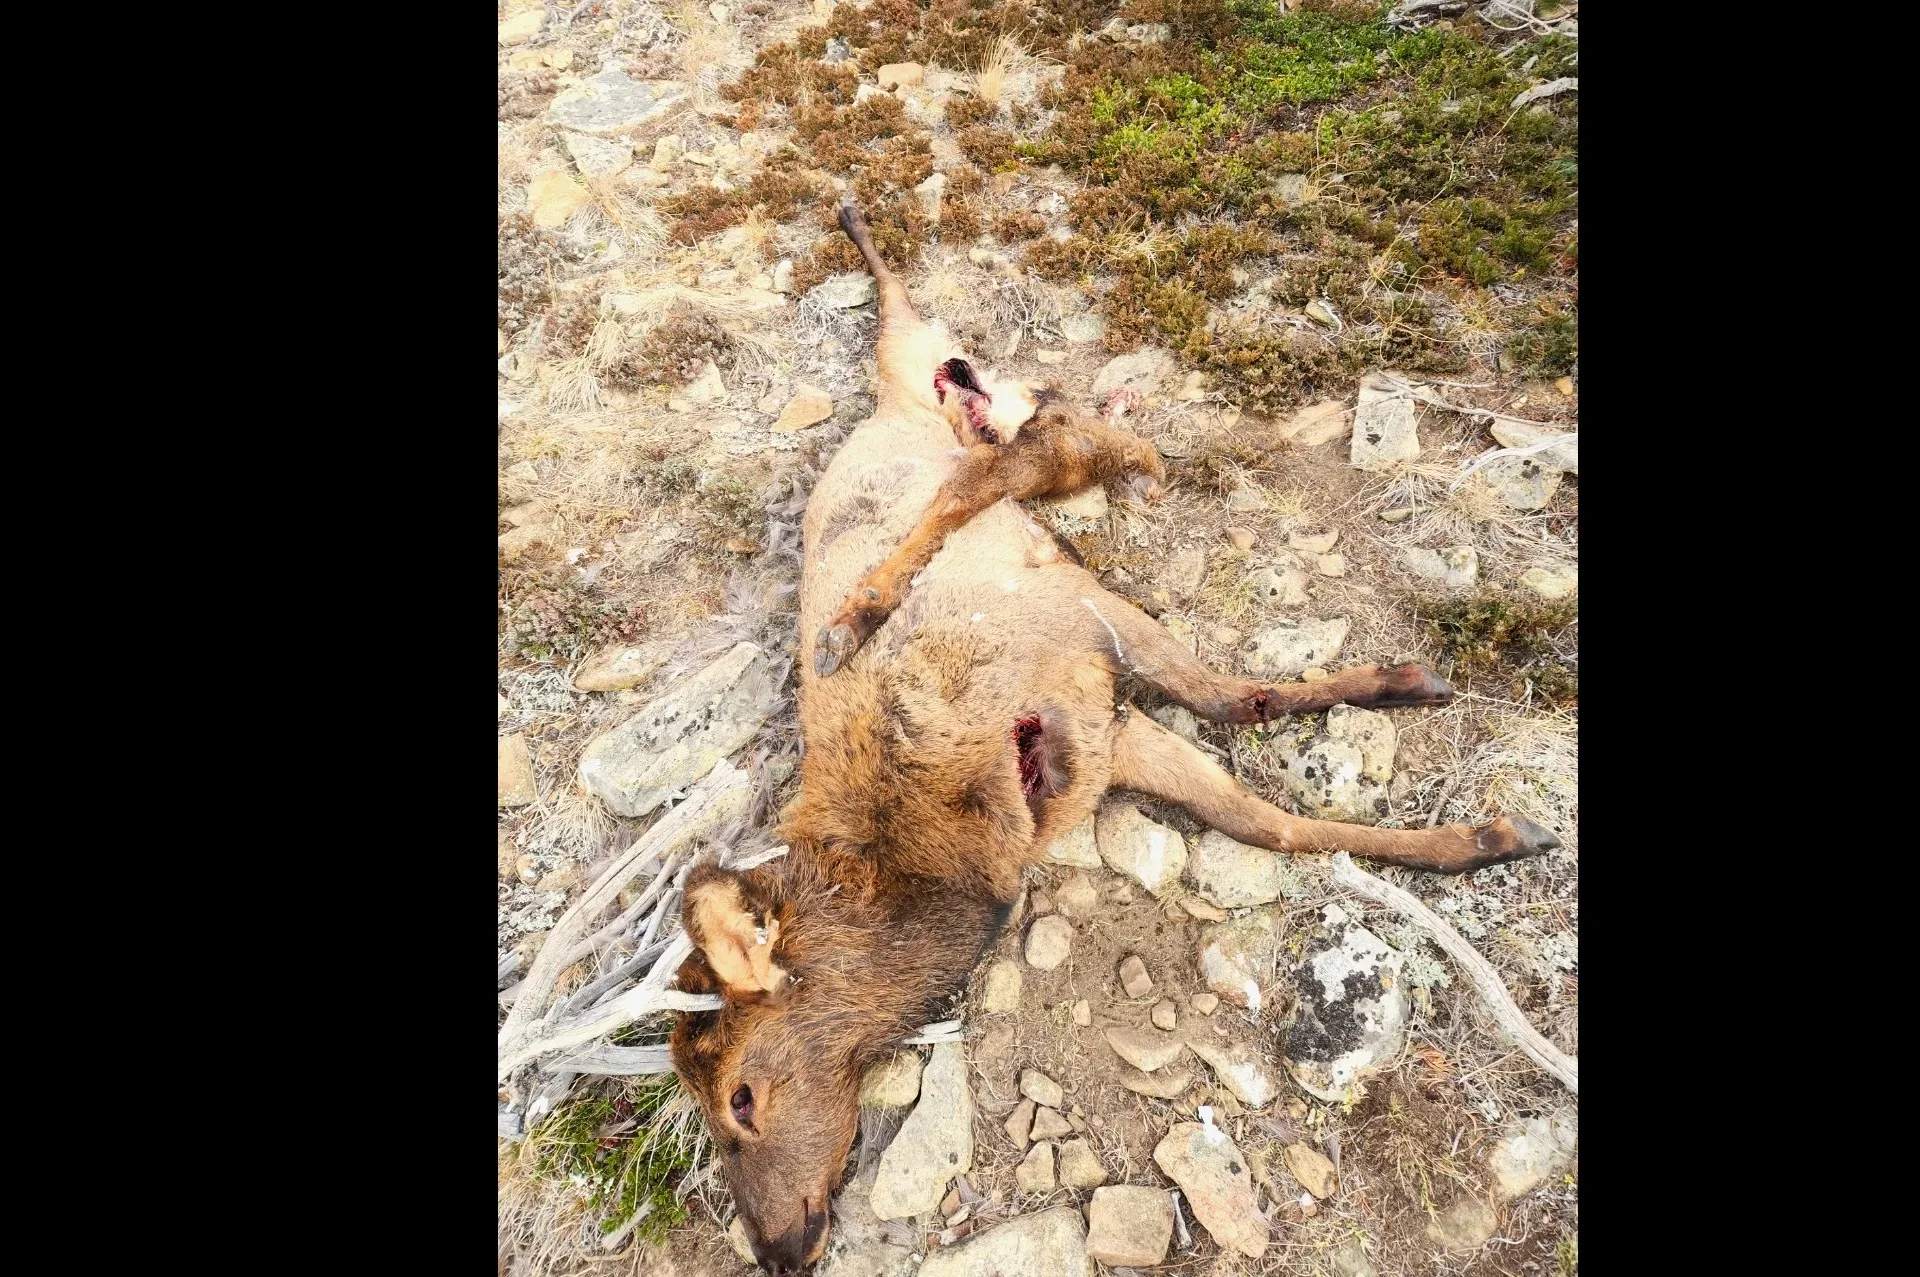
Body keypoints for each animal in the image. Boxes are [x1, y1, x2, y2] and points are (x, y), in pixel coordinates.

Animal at [669, 200, 1558, 1275]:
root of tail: (893, 408)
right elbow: (1267, 803)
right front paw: (1469, 814)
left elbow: (1239, 722)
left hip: (963, 403)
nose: (776, 1247)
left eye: (740, 1096)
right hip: (961, 401)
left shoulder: (1090, 642)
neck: (944, 847)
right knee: (976, 397)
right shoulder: (1110, 735)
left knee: (961, 397)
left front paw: (1462, 795)